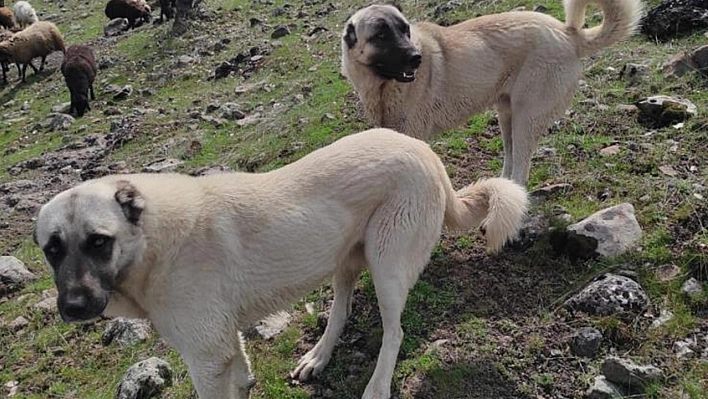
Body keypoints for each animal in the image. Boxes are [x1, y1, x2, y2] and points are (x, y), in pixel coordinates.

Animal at [36, 130, 528, 398]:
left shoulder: (206, 357)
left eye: (99, 241)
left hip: (386, 264)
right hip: (344, 258)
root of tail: (427, 152)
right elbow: (242, 376)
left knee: (394, 333)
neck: (152, 241)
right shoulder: (223, 343)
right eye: (52, 249)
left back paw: (377, 387)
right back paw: (317, 357)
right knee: (342, 311)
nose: (73, 308)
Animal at [340, 0, 644, 186]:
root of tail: (568, 35)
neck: (382, 85)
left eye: (405, 30)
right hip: (506, 115)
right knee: (510, 158)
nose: (417, 58)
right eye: (381, 35)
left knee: (521, 168)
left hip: (526, 118)